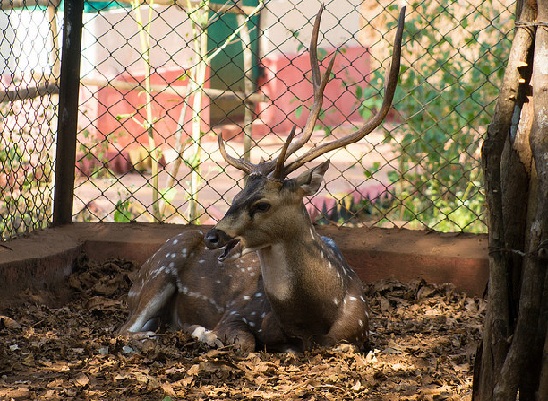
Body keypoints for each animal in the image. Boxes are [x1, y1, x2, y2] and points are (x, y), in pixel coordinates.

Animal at [117, 4, 404, 352]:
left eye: (262, 204)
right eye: (235, 196)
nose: (213, 237)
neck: (315, 320)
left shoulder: (360, 331)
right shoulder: (239, 311)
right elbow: (245, 342)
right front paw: (205, 333)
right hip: (162, 266)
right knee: (122, 330)